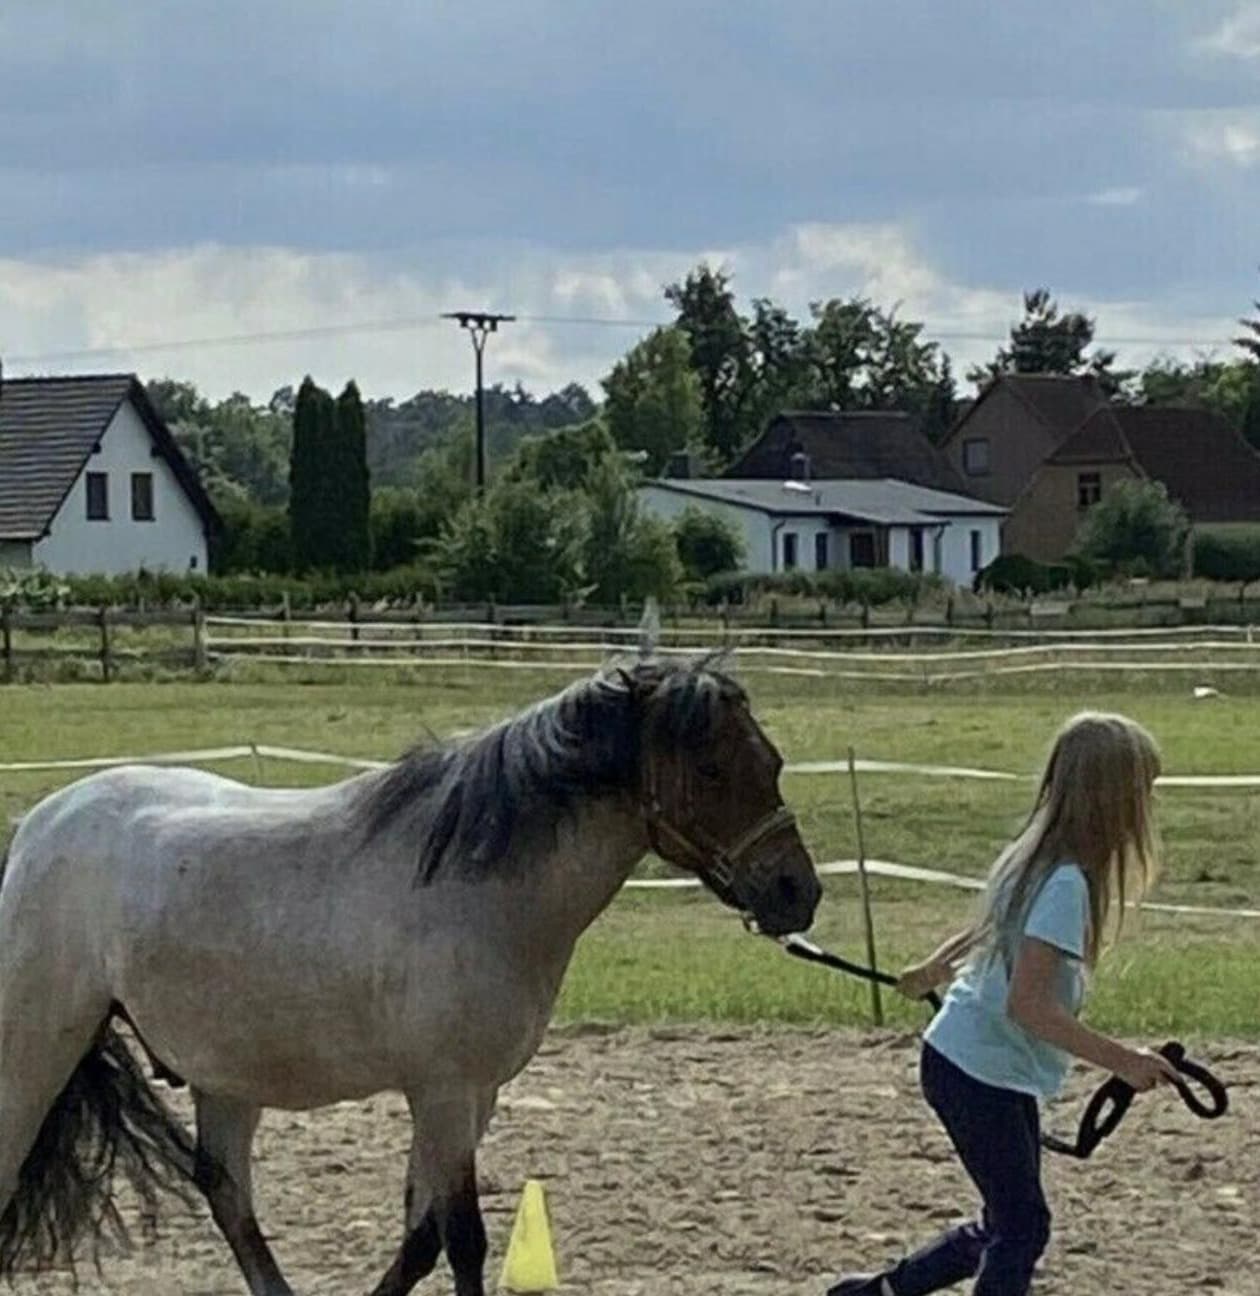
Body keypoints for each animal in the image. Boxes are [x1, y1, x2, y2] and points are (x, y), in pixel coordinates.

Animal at [0, 655, 821, 1295]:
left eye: (773, 762)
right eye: (711, 768)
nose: (797, 892)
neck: (476, 884)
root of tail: (41, 824)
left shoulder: (473, 1096)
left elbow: (421, 1236)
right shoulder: (444, 1092)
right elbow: (463, 1241)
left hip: (227, 1074)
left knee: (228, 1194)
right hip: (37, 1051)